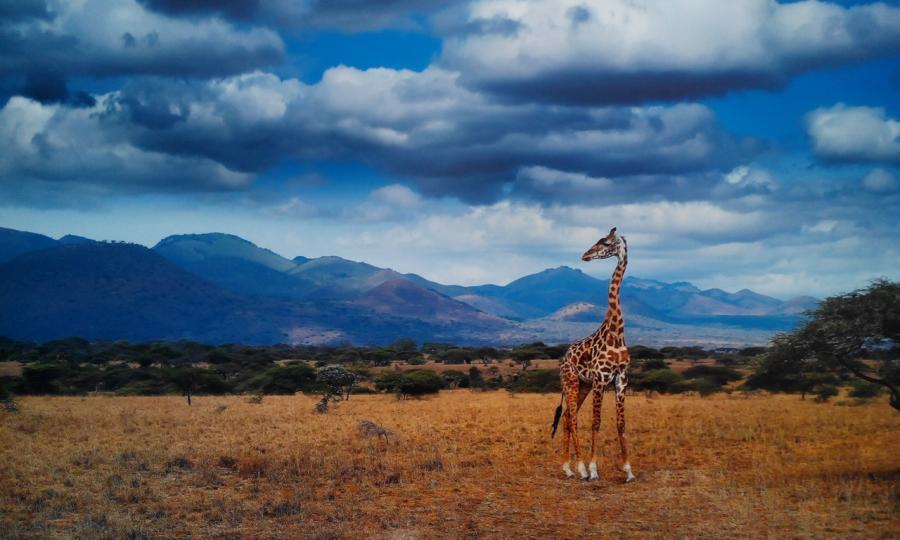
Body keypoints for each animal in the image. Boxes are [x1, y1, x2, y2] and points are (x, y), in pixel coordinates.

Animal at [548, 226, 632, 484]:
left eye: (604, 242)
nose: (585, 255)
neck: (616, 333)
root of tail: (563, 359)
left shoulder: (621, 380)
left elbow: (621, 424)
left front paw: (628, 470)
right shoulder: (600, 379)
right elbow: (596, 422)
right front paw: (594, 469)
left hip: (582, 385)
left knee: (567, 417)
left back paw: (568, 468)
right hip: (572, 381)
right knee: (573, 419)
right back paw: (581, 469)